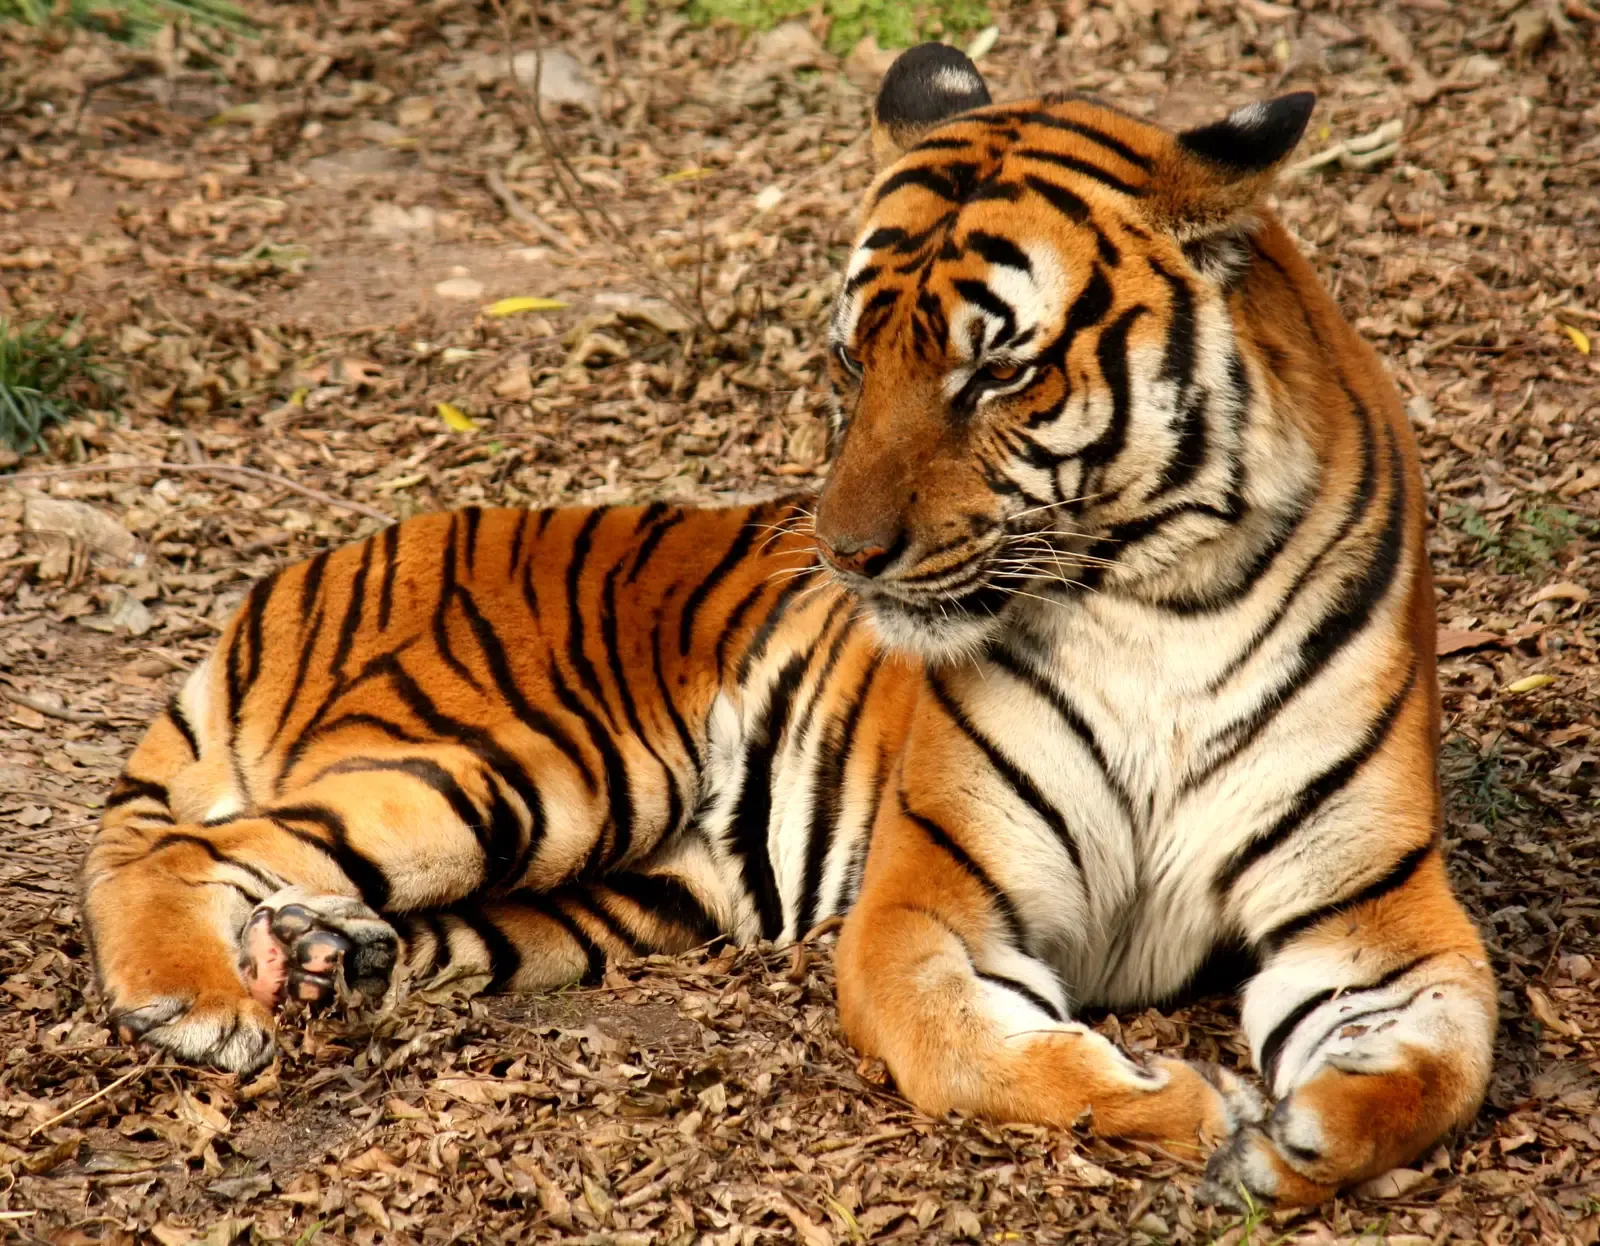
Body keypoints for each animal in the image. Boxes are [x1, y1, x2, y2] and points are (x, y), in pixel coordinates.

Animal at [82, 42, 1496, 1208]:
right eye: (851, 360)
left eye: (997, 369)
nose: (848, 555)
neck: (1153, 597)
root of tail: (311, 567)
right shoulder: (930, 901)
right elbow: (979, 1052)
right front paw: (1190, 1108)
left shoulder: (1373, 913)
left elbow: (1443, 1063)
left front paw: (1301, 1135)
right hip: (526, 768)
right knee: (187, 847)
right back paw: (196, 1002)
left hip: (627, 889)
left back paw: (327, 961)